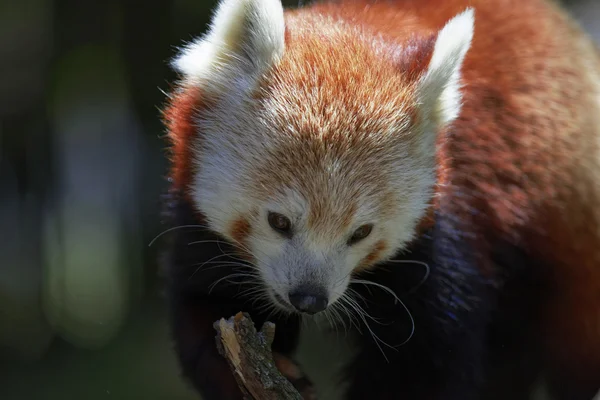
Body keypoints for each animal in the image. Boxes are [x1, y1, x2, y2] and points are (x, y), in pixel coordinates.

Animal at [159, 0, 600, 398]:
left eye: (361, 232)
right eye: (279, 221)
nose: (309, 298)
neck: (363, 25)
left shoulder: (450, 227)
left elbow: (425, 362)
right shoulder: (198, 225)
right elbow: (207, 309)